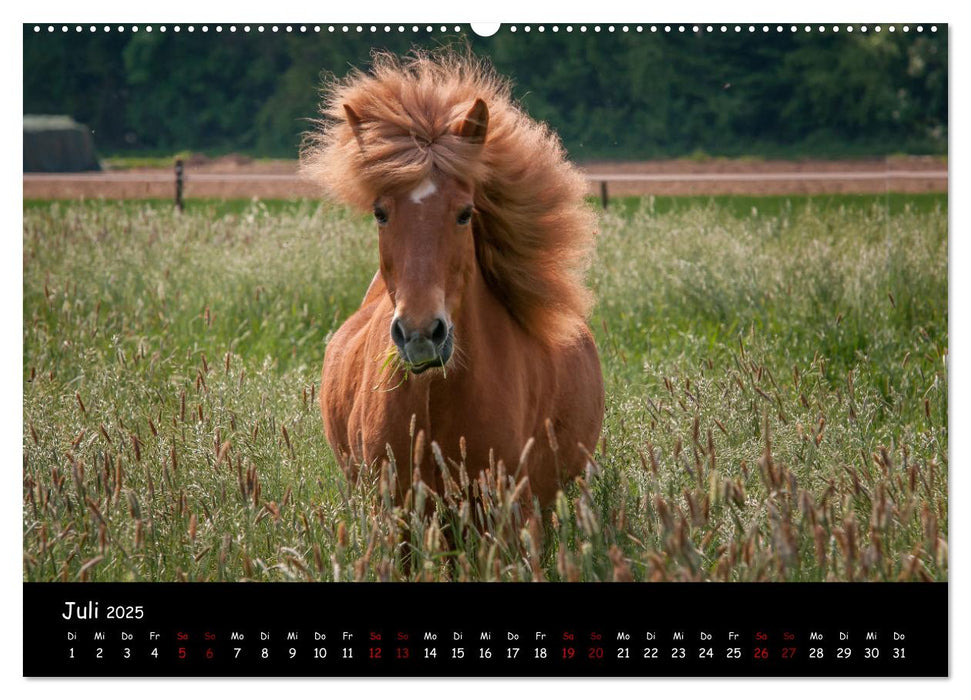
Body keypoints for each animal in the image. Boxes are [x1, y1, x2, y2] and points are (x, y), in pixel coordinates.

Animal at [304, 52, 604, 524]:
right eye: (380, 212)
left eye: (465, 213)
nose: (421, 335)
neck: (436, 398)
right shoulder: (393, 515)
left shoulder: (514, 513)